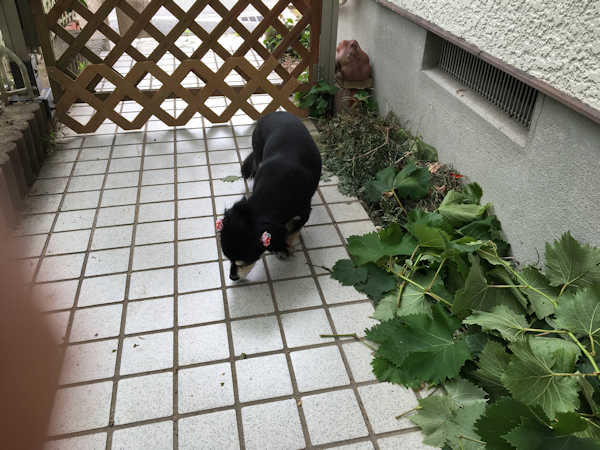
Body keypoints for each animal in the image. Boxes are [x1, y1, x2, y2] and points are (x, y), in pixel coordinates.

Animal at [217, 111, 322, 281]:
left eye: (243, 261)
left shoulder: (304, 212)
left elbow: (292, 230)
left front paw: (285, 247)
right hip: (258, 147)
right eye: (228, 259)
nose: (232, 277)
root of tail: (276, 112)